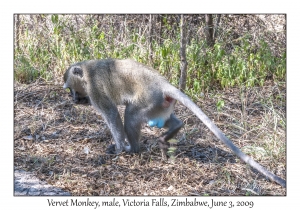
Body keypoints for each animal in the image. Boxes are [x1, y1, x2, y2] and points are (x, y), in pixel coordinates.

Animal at [62, 58, 286, 187]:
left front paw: (118, 149)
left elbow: (112, 115)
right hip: (160, 104)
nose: (73, 99)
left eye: (71, 88)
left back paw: (133, 149)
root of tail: (162, 84)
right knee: (164, 118)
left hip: (148, 100)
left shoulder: (95, 92)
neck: (86, 71)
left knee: (131, 115)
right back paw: (172, 131)